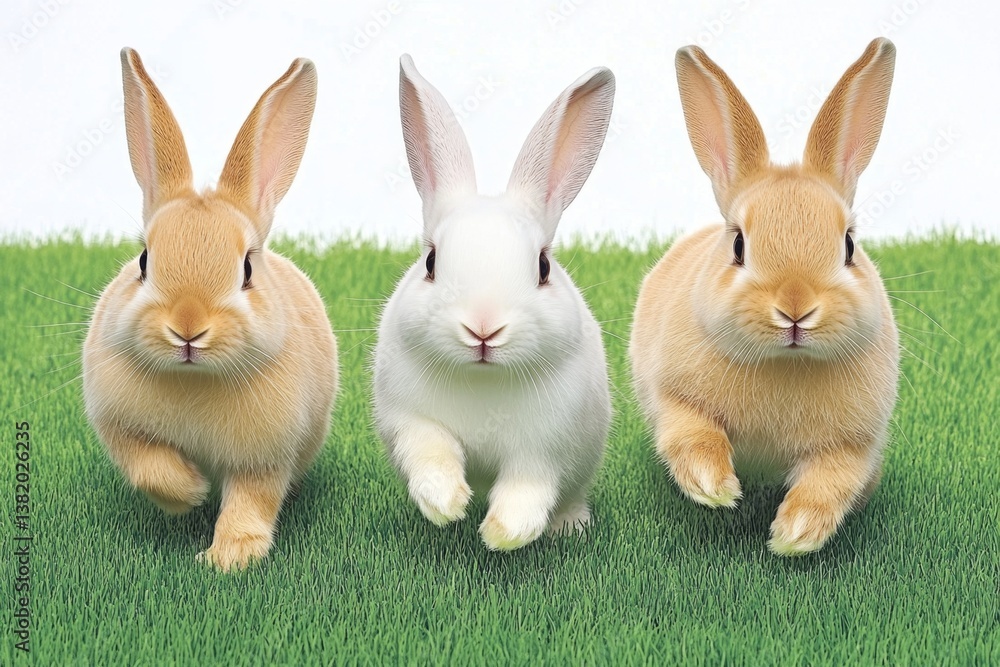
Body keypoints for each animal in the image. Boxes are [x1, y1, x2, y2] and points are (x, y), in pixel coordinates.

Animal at [82, 48, 338, 572]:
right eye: (143, 261)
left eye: (247, 269)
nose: (188, 328)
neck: (194, 378)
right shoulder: (120, 426)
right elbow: (150, 468)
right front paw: (192, 492)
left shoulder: (264, 456)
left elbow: (251, 501)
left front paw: (228, 558)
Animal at [373, 55, 615, 551]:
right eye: (430, 262)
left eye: (543, 266)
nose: (483, 328)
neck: (482, 378)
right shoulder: (410, 420)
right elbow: (430, 451)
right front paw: (445, 505)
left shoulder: (544, 447)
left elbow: (528, 486)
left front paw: (504, 535)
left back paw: (569, 526)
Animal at [630, 38, 900, 555]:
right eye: (738, 244)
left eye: (849, 246)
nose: (795, 309)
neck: (784, 361)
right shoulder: (674, 396)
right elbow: (693, 434)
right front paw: (715, 489)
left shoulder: (852, 444)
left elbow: (829, 481)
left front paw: (795, 535)